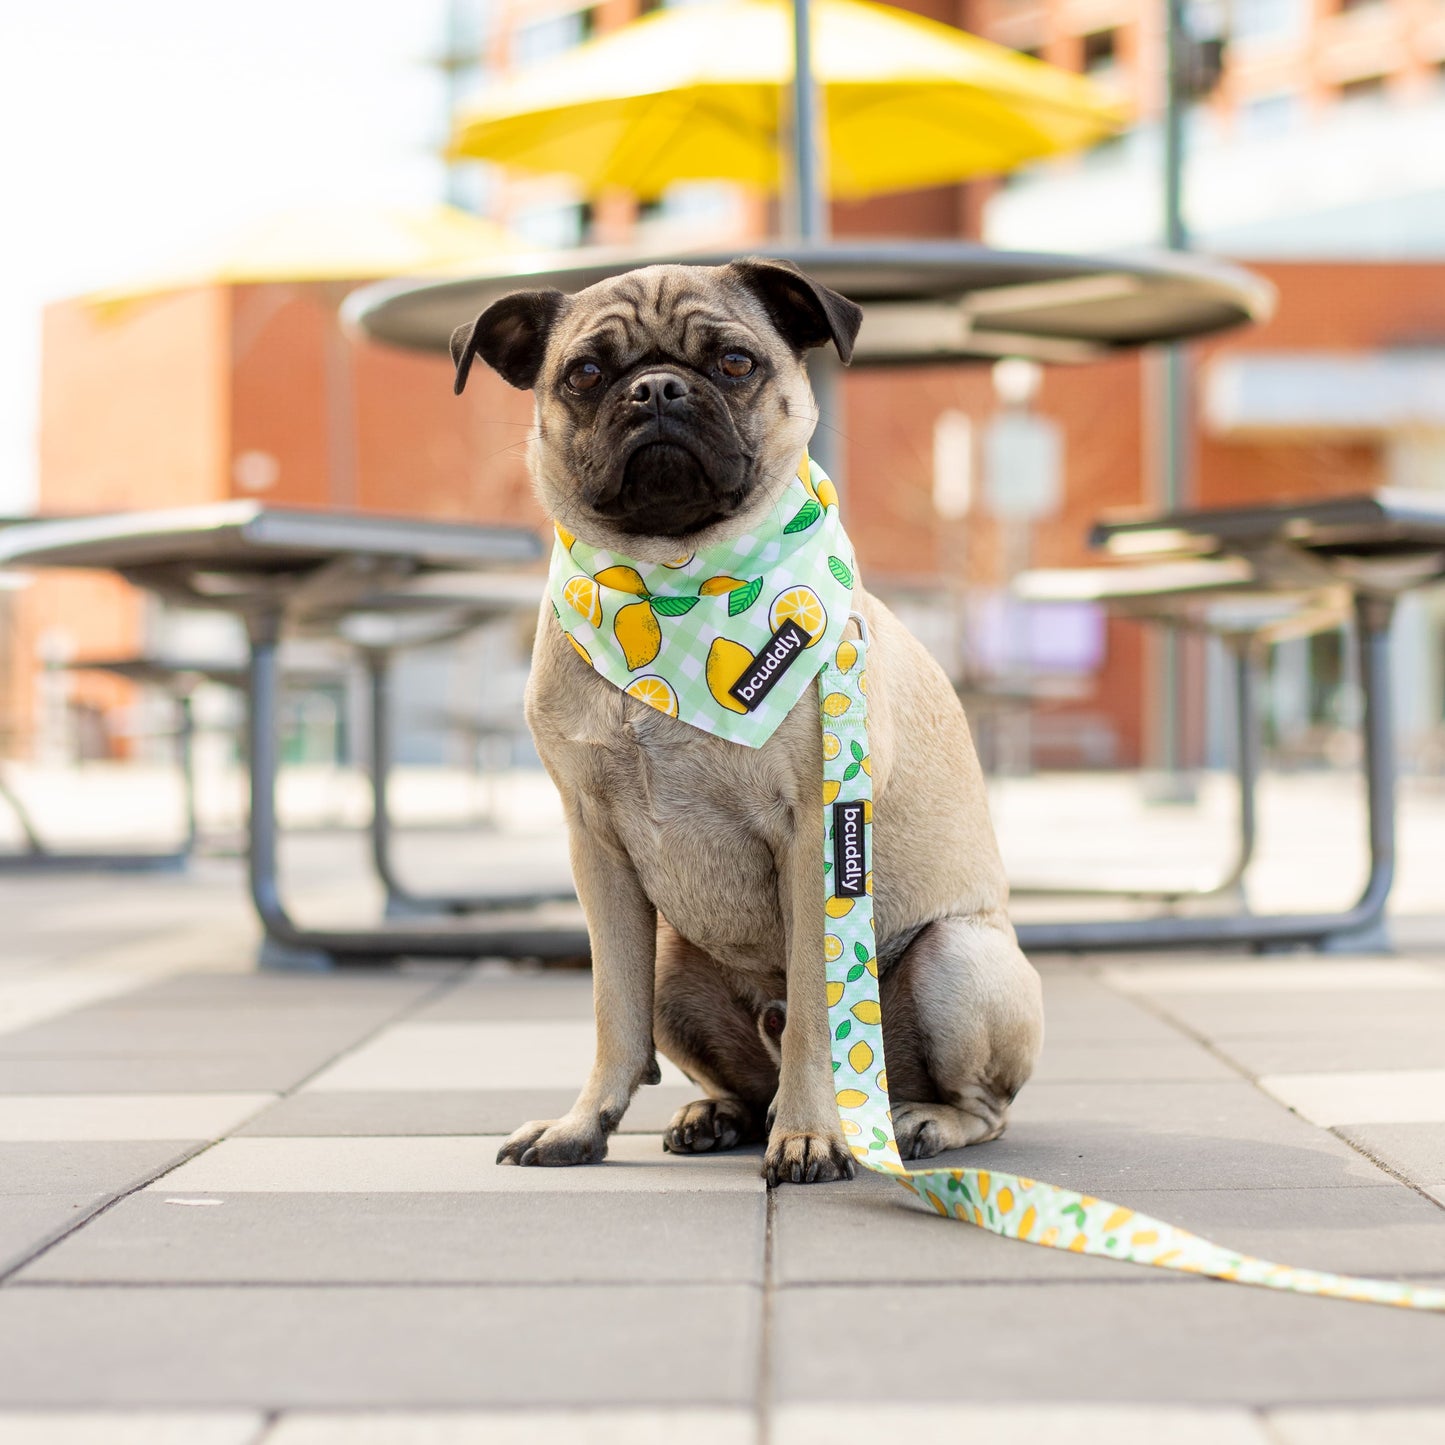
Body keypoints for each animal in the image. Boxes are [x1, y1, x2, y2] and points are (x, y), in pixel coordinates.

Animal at [450, 260, 1040, 1184]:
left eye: (733, 362)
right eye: (584, 374)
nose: (656, 388)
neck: (671, 577)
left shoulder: (814, 841)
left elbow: (813, 1019)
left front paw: (809, 1135)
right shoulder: (596, 849)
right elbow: (610, 1013)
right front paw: (584, 1124)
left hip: (957, 957)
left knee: (980, 1106)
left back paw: (912, 1120)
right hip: (671, 962)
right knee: (726, 1067)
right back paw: (717, 1114)